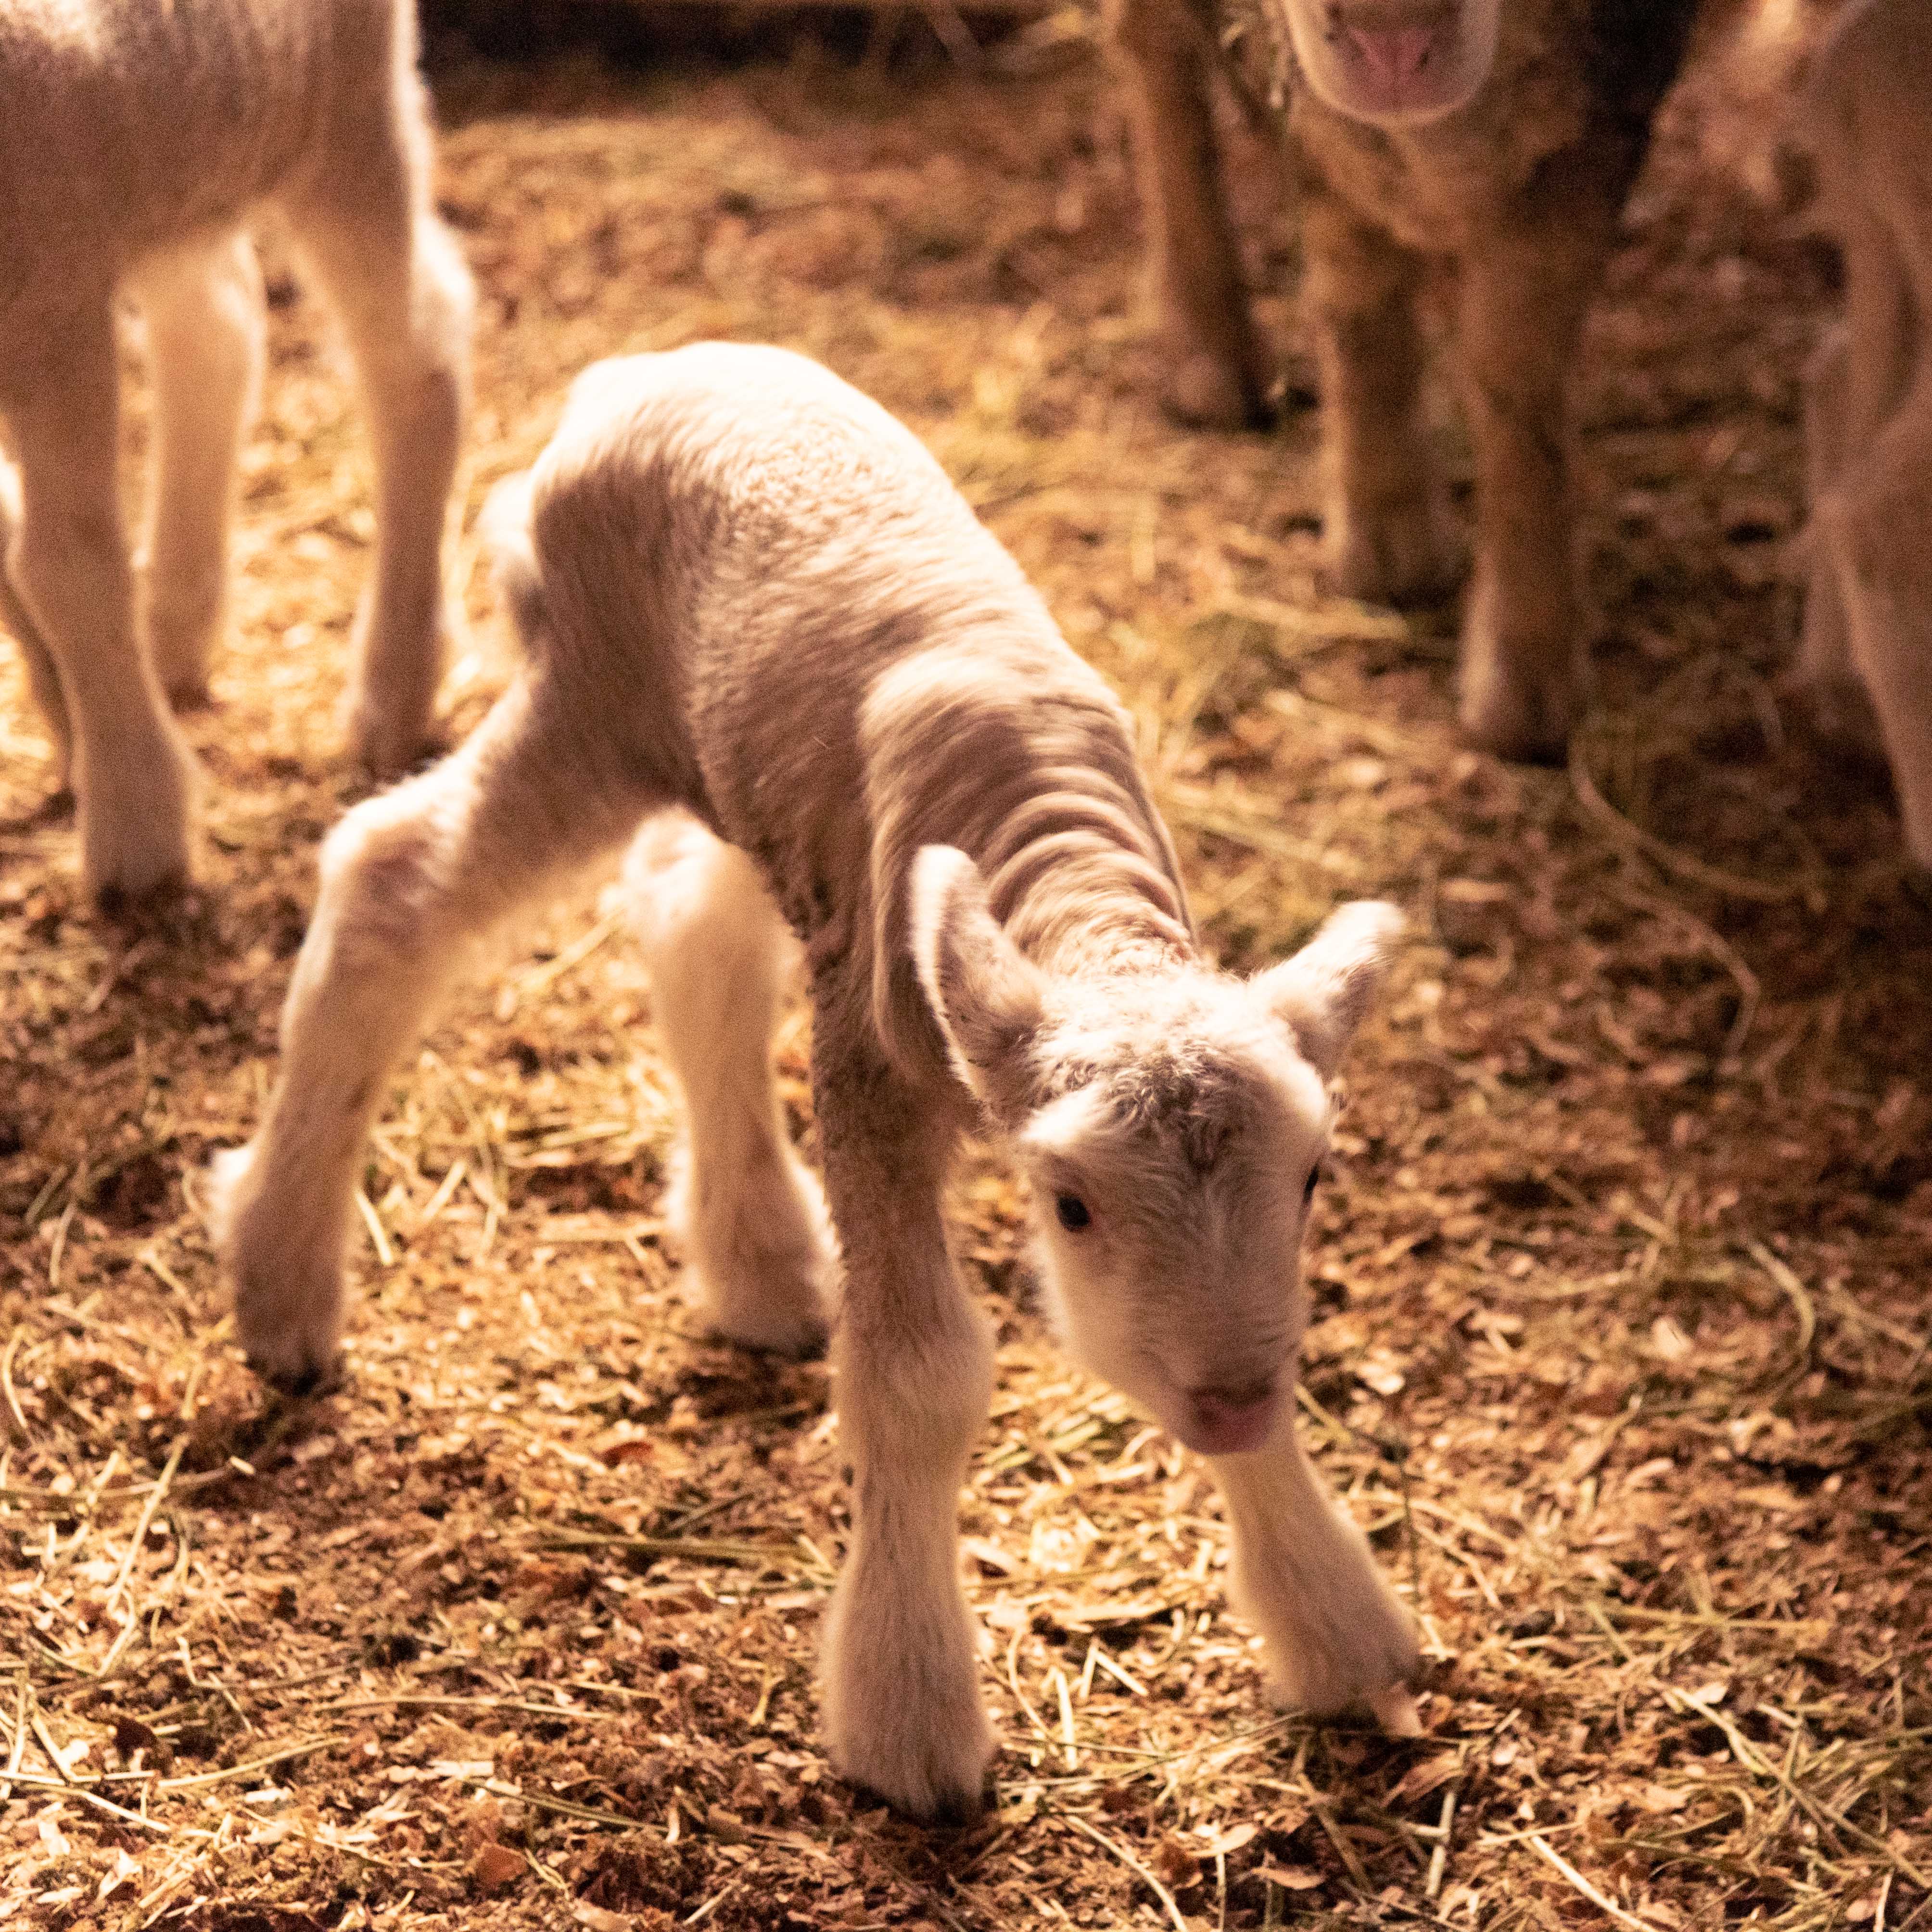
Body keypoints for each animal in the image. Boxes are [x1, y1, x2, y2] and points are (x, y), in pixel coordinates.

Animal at [0, 0, 472, 905]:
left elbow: (68, 563)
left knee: (418, 355)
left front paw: (133, 817)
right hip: (184, 143)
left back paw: (393, 687)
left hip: (344, 115)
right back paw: (175, 626)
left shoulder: (53, 295)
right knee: (220, 329)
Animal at [208, 342, 1422, 1822]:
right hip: (595, 699)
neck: (1062, 870)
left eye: (1310, 1179)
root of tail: (637, 371)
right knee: (387, 876)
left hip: (752, 792)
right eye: (1071, 1206)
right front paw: (911, 1720)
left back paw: (758, 1269)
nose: (1232, 1395)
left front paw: (1337, 1630)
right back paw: (280, 1282)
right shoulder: (874, 1063)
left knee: (692, 927)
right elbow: (918, 1375)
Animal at [1104, 0, 1722, 761]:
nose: (1393, 35)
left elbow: (1514, 367)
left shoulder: (1607, 86)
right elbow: (1356, 276)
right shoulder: (1301, 98)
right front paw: (1386, 539)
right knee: (1149, 46)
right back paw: (1210, 347)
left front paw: (1526, 673)